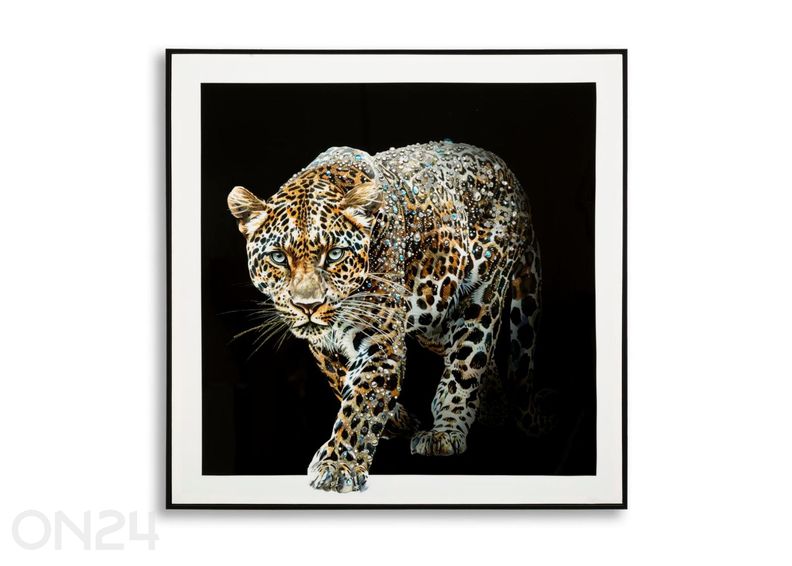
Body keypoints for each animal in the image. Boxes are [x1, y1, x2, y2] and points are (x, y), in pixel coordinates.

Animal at [227, 141, 545, 493]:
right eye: (278, 258)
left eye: (334, 255)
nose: (308, 305)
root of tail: (507, 171)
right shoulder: (324, 346)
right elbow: (342, 381)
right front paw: (397, 422)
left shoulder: (381, 340)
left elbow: (361, 403)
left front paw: (338, 464)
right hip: (434, 316)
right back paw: (492, 413)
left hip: (483, 294)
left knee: (466, 361)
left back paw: (446, 430)